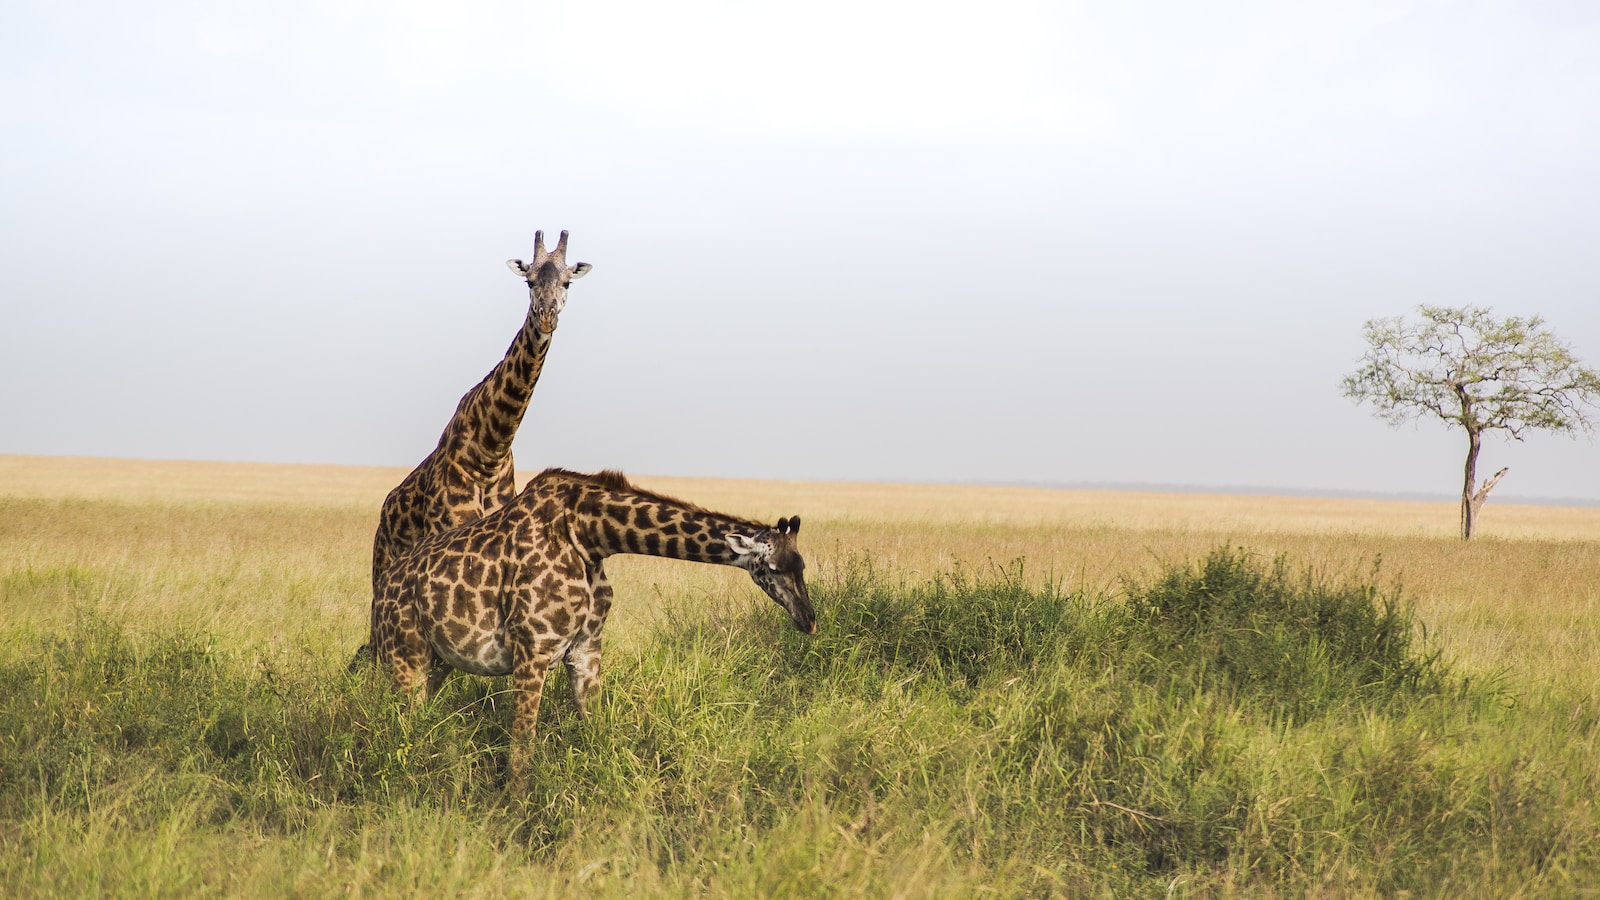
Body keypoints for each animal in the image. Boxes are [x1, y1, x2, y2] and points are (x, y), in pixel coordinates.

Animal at [369, 230, 592, 599]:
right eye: (529, 281)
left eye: (567, 282)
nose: (546, 316)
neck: (491, 450)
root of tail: (384, 513)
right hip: (382, 566)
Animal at [369, 467, 815, 782]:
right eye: (774, 568)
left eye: (803, 566)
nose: (809, 620)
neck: (589, 535)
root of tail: (384, 587)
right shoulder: (533, 650)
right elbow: (521, 753)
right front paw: (516, 820)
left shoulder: (585, 650)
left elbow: (599, 735)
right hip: (404, 654)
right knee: (396, 728)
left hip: (437, 661)